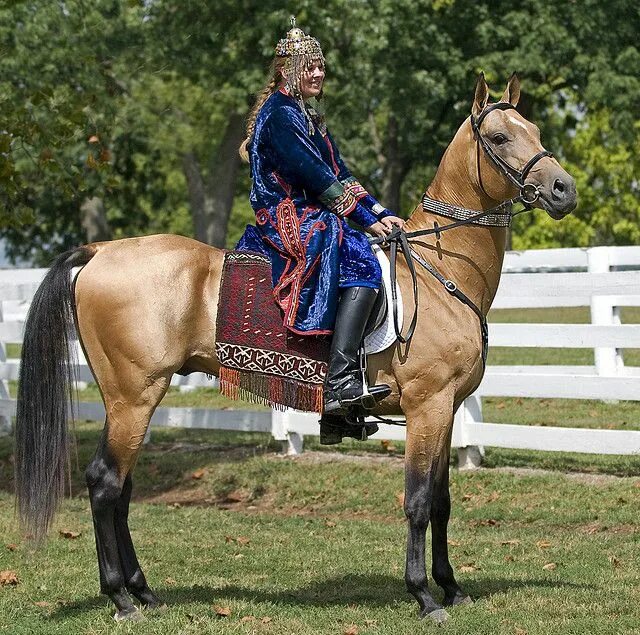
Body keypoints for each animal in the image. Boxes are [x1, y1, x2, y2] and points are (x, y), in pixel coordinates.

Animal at [13, 76, 576, 628]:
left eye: (535, 129)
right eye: (500, 137)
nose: (563, 189)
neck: (440, 270)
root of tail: (100, 251)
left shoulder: (448, 408)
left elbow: (441, 501)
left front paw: (452, 588)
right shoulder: (428, 406)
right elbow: (417, 501)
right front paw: (424, 595)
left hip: (128, 401)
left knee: (121, 488)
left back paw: (143, 592)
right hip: (135, 397)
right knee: (105, 483)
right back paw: (121, 597)